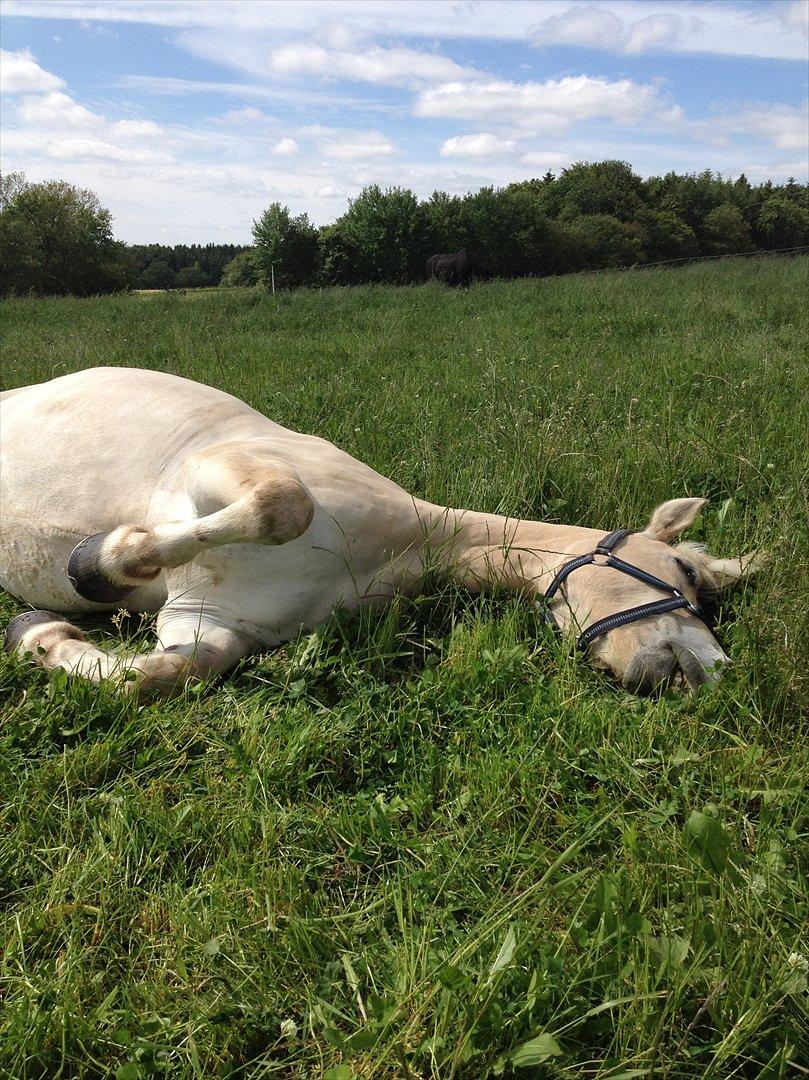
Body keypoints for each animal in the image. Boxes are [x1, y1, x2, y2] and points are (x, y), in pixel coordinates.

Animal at [0, 367, 756, 695]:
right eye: (684, 573)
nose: (711, 673)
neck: (386, 551)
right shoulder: (217, 471)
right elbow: (282, 507)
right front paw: (97, 564)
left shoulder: (212, 621)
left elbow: (156, 676)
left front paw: (40, 634)